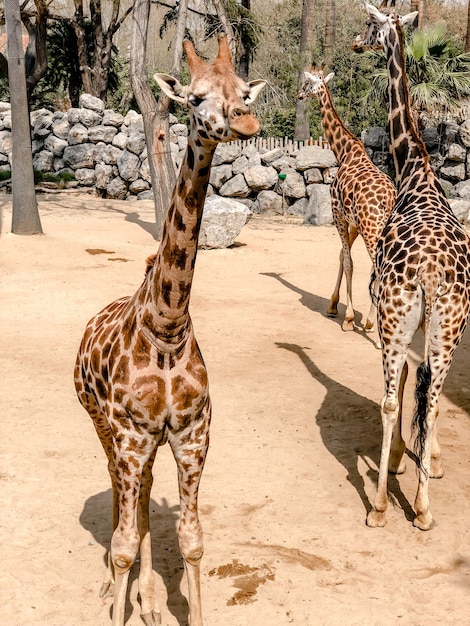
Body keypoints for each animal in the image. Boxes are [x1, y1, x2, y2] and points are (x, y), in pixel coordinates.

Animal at [73, 35, 264, 624]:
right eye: (196, 96)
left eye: (243, 90)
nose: (246, 120)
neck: (168, 324)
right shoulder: (131, 434)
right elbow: (121, 544)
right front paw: (119, 595)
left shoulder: (191, 434)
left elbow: (192, 540)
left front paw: (159, 602)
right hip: (101, 423)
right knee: (118, 489)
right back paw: (116, 590)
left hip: (147, 443)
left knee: (142, 495)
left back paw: (149, 600)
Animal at [298, 67, 396, 336]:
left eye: (307, 84)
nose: (299, 95)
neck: (344, 151)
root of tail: (388, 199)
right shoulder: (352, 222)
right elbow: (343, 256)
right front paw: (333, 305)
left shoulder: (337, 213)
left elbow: (350, 261)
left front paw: (349, 318)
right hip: (381, 229)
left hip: (372, 228)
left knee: (380, 267)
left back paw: (376, 324)